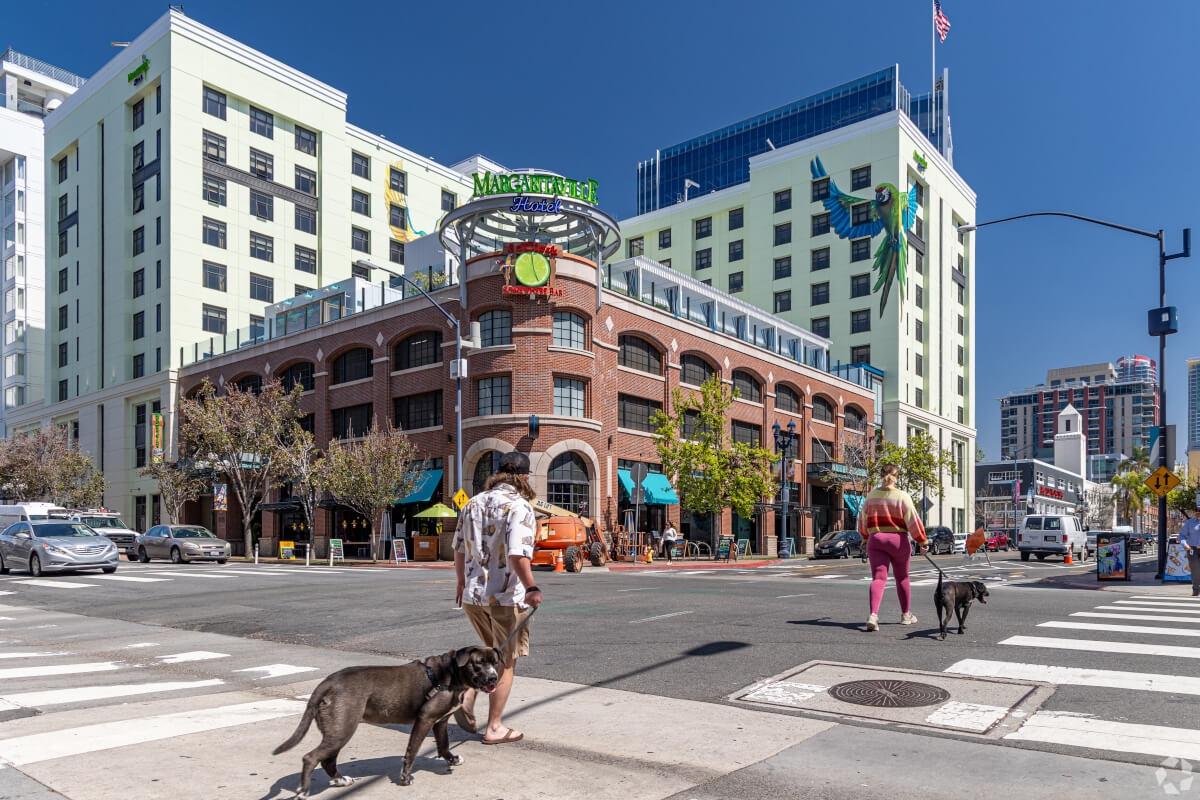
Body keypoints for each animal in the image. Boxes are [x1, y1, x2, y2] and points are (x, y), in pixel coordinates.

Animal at [274, 647, 501, 796]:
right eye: (478, 663)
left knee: (327, 759)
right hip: (342, 729)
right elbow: (411, 751)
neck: (451, 673)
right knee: (311, 757)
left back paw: (339, 780)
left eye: (495, 662)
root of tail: (328, 681)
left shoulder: (440, 722)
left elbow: (444, 745)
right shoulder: (425, 719)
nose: (494, 678)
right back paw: (304, 791)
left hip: (338, 730)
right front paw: (405, 778)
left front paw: (452, 759)